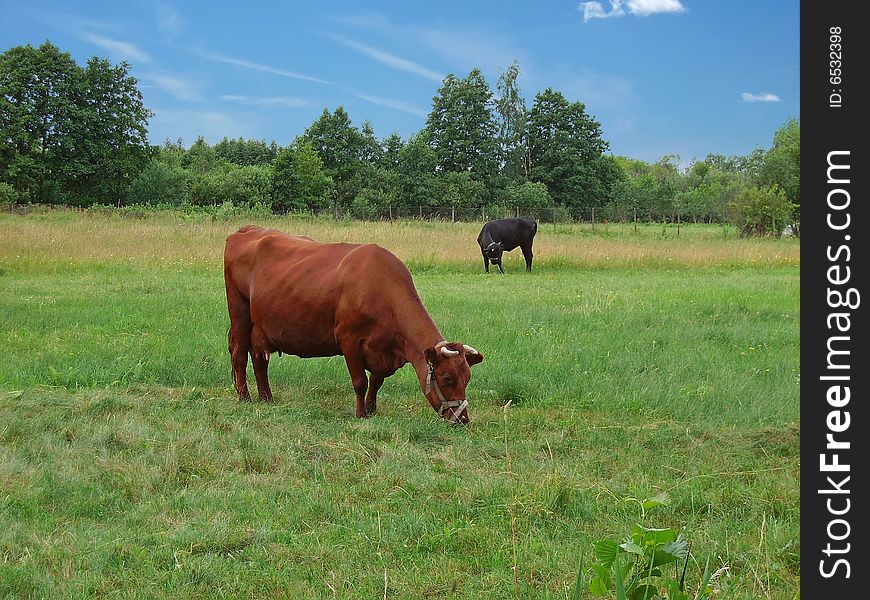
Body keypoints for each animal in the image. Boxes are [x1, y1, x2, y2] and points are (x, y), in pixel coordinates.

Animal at [223, 224, 484, 422]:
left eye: (468, 378)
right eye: (447, 378)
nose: (462, 419)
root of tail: (248, 230)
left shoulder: (383, 350)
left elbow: (376, 381)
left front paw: (371, 408)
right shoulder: (348, 339)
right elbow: (360, 381)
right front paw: (361, 414)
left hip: (261, 327)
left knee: (260, 359)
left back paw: (266, 397)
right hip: (239, 312)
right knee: (240, 354)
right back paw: (245, 397)